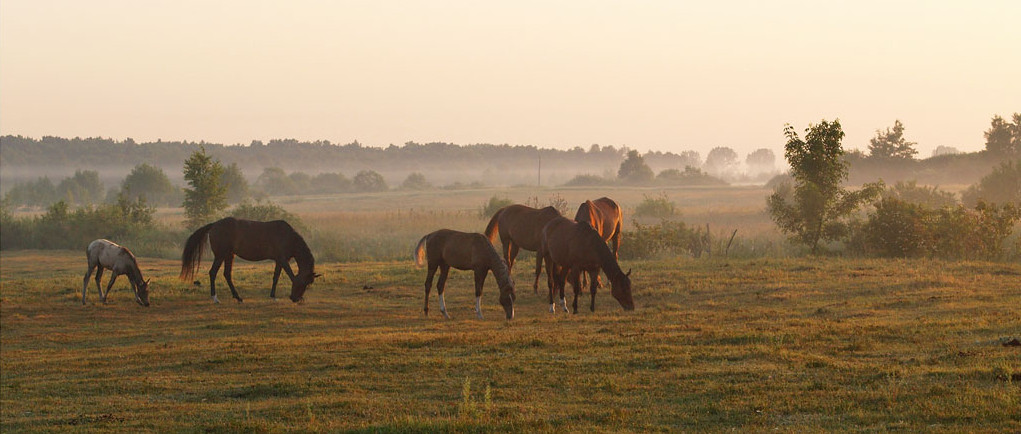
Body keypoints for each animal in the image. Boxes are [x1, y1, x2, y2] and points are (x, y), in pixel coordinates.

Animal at [178, 216, 314, 304]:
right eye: (304, 283)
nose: (295, 299)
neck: (288, 237)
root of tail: (214, 225)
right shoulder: (283, 260)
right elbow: (290, 275)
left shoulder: (280, 260)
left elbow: (276, 277)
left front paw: (273, 297)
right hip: (220, 255)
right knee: (213, 273)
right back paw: (215, 298)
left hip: (229, 255)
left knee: (227, 274)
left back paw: (238, 297)